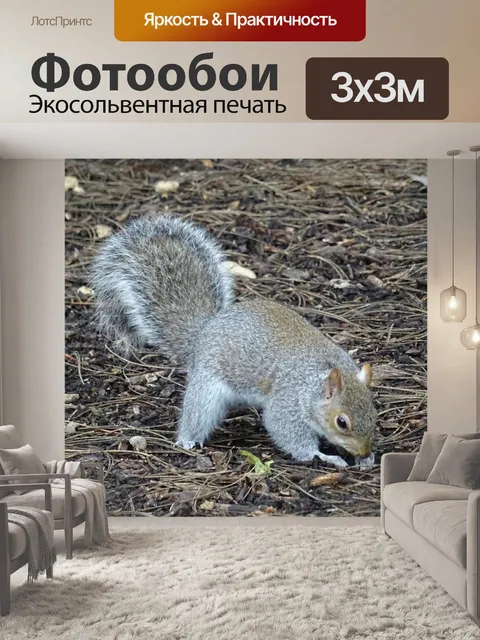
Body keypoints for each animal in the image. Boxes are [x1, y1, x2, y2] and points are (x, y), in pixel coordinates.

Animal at [91, 215, 377, 470]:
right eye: (342, 422)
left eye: (373, 410)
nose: (365, 450)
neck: (315, 383)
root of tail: (204, 331)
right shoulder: (287, 402)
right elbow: (288, 433)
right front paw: (323, 456)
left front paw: (365, 459)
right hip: (207, 388)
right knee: (197, 414)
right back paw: (188, 440)